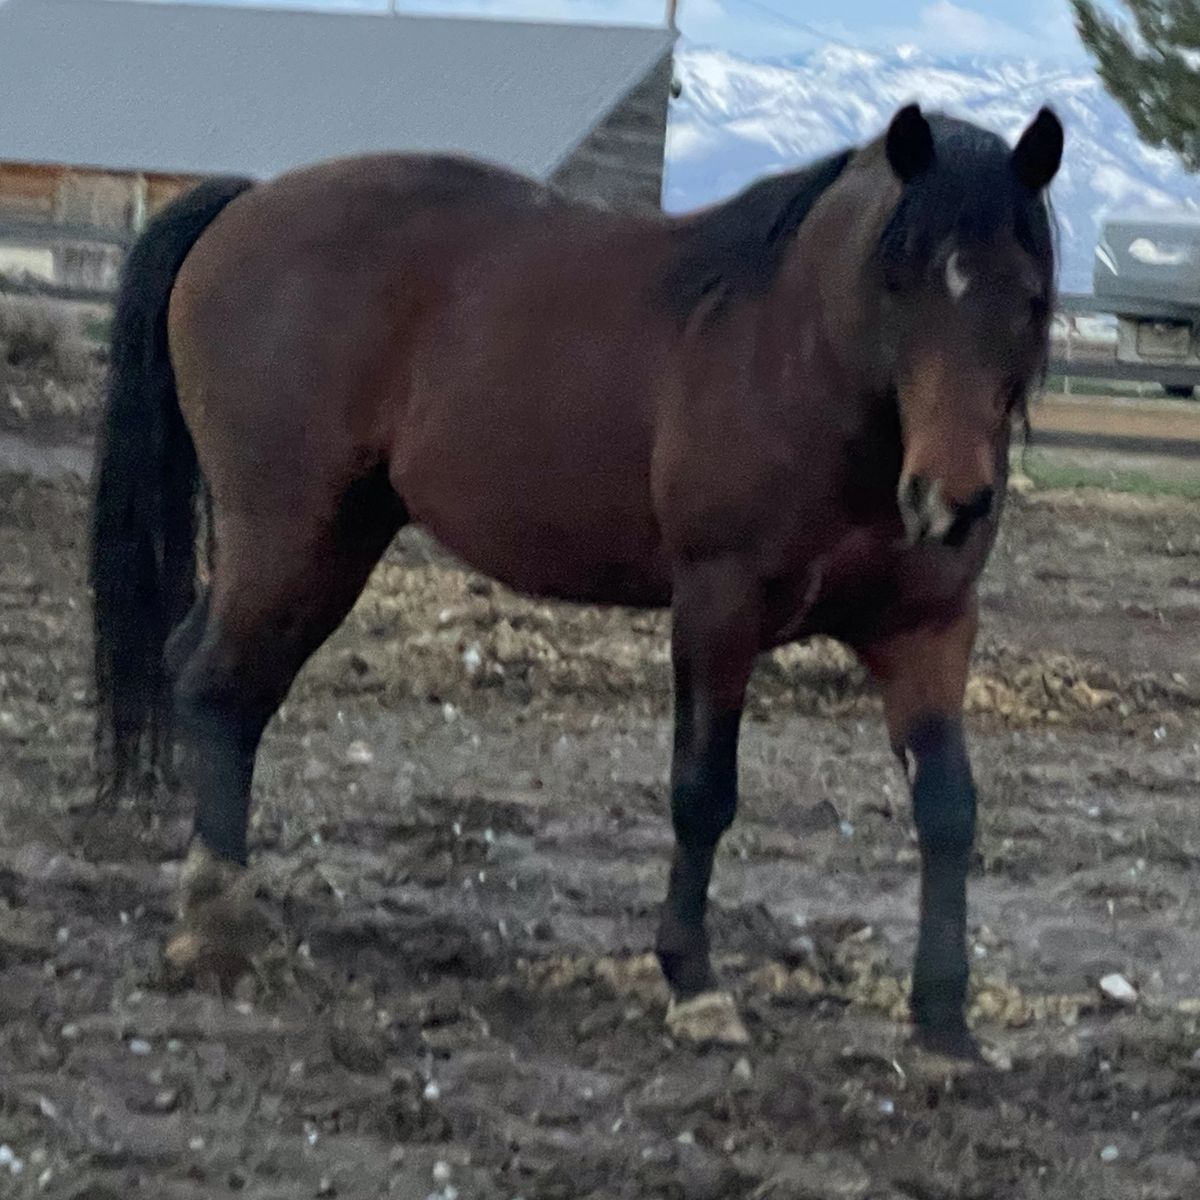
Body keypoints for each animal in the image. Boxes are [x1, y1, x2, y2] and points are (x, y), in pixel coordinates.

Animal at [89, 102, 1063, 1059]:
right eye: (900, 281)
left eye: (1027, 294)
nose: (948, 500)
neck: (799, 359)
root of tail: (245, 206)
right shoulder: (718, 608)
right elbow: (704, 793)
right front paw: (694, 984)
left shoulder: (927, 627)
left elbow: (948, 808)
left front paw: (944, 1018)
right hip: (287, 536)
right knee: (219, 685)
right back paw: (215, 924)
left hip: (331, 543)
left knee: (218, 680)